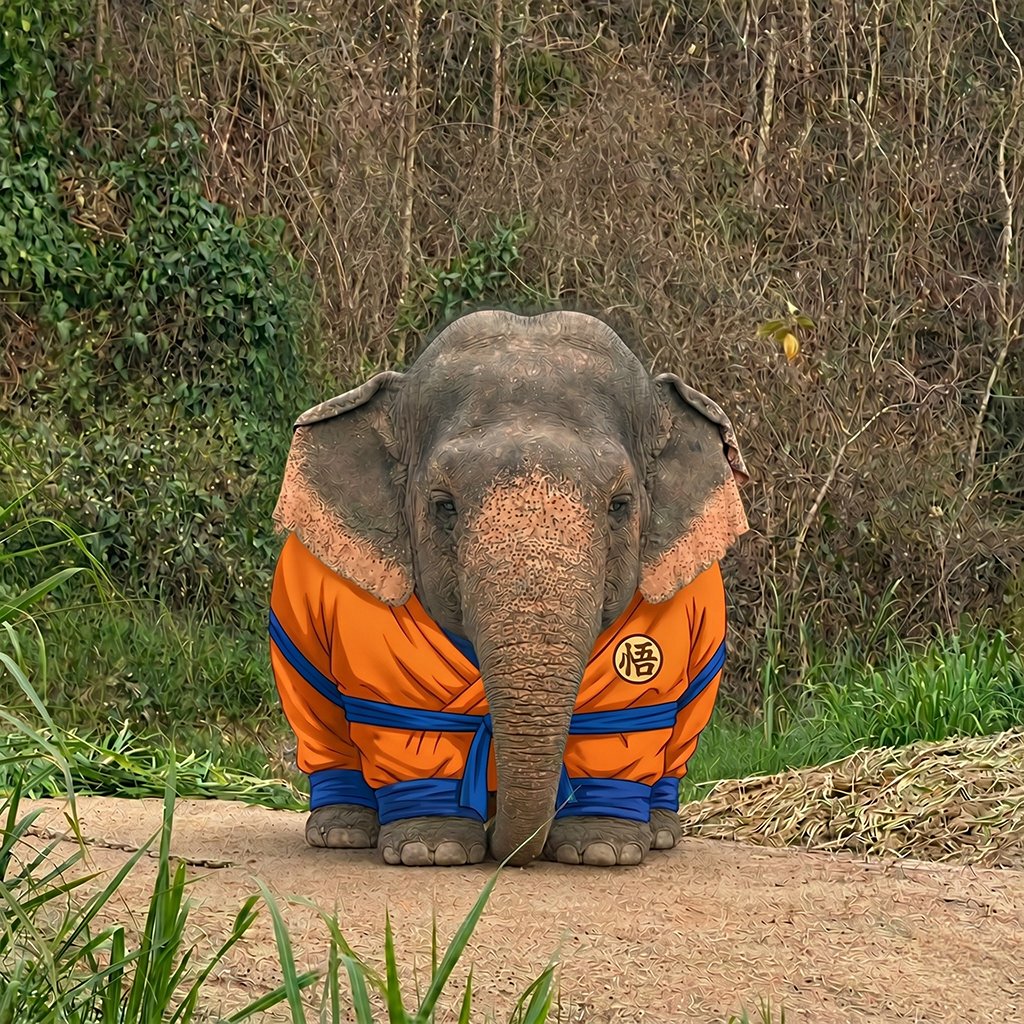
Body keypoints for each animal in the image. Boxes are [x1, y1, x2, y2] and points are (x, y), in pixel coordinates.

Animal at [269, 309, 748, 867]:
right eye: (444, 505)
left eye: (620, 505)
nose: (502, 841)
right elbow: (404, 711)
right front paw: (431, 850)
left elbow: (627, 715)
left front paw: (601, 851)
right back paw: (341, 833)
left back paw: (663, 834)